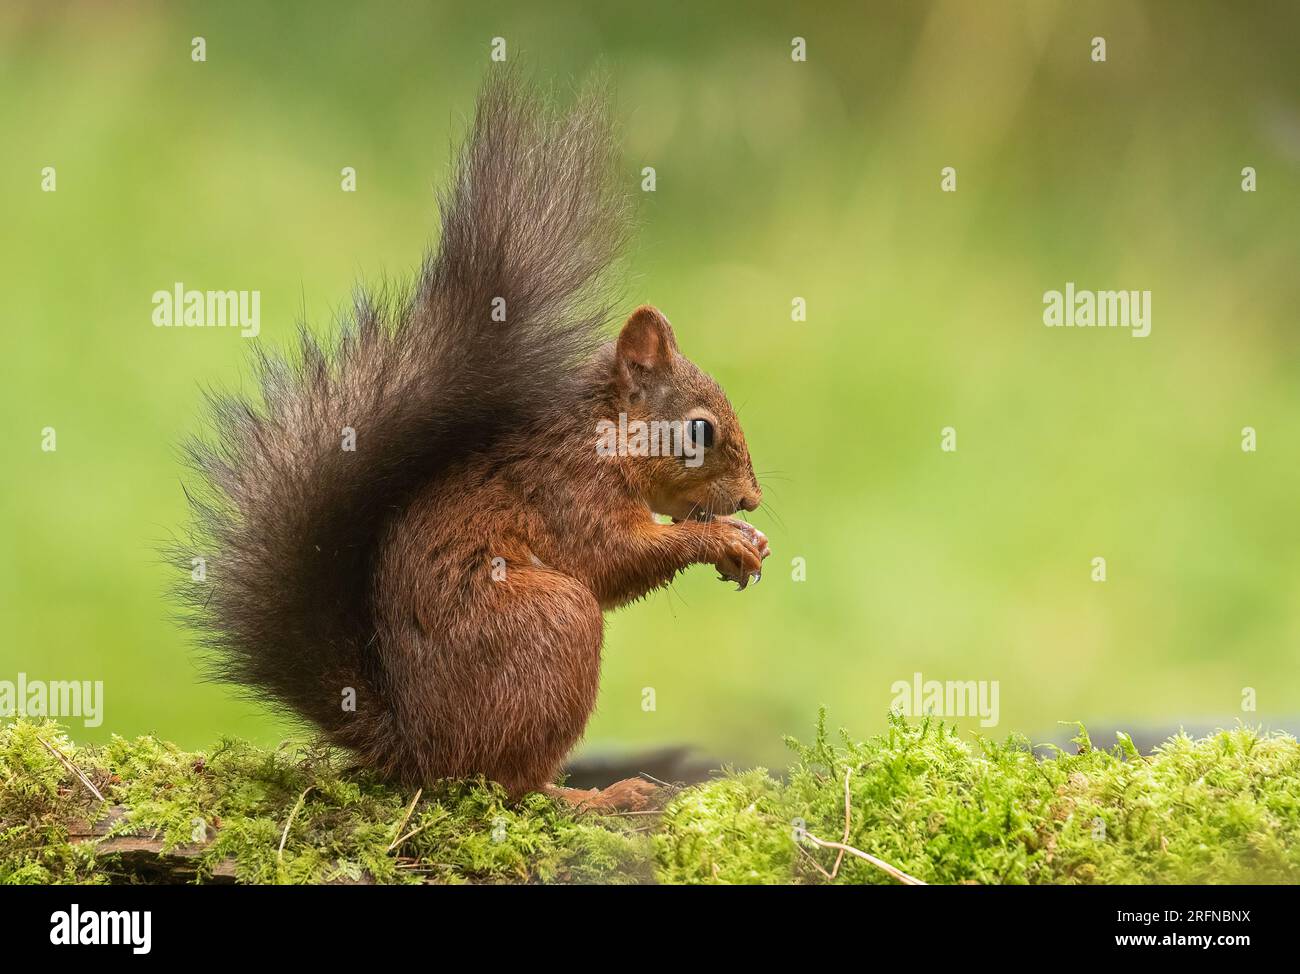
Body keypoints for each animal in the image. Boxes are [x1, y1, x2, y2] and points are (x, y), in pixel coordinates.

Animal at [176, 74, 764, 806]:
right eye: (699, 430)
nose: (753, 499)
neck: (602, 439)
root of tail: (418, 752)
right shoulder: (566, 490)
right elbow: (611, 559)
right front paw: (720, 538)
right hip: (553, 624)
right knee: (509, 782)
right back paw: (594, 796)